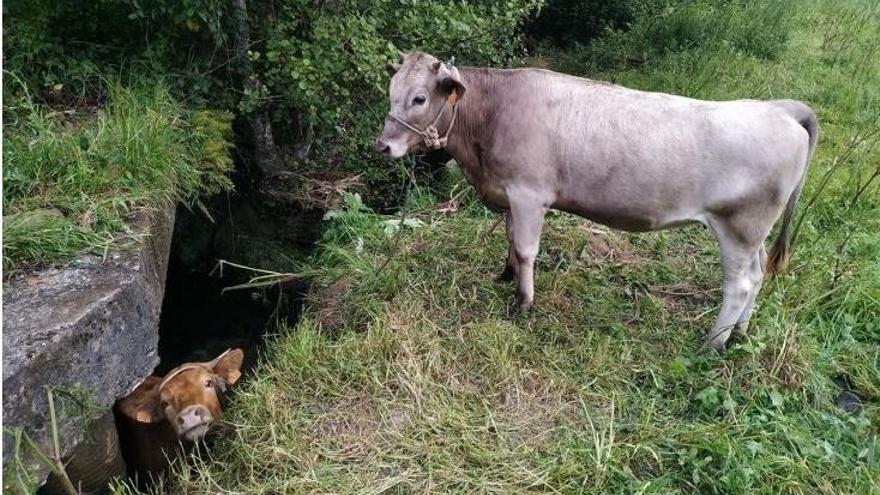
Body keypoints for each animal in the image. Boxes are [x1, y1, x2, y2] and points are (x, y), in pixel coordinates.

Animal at [378, 52, 820, 350]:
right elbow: (510, 241)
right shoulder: (510, 194)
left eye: (419, 99)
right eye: (391, 92)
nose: (382, 146)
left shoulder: (529, 194)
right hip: (753, 231)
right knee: (758, 275)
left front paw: (523, 303)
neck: (495, 112)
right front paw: (504, 275)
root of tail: (780, 109)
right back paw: (739, 334)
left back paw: (712, 343)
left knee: (740, 285)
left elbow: (526, 249)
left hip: (737, 226)